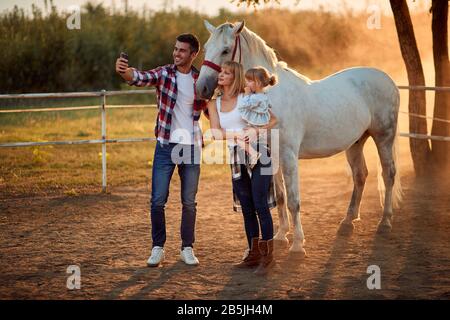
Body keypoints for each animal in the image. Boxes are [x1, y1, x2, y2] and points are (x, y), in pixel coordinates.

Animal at [197, 21, 404, 256]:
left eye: (225, 50)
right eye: (206, 48)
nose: (202, 88)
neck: (270, 97)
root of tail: (387, 80)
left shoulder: (288, 156)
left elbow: (293, 200)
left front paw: (297, 244)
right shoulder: (271, 157)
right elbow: (280, 197)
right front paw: (280, 236)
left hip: (384, 137)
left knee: (388, 174)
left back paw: (385, 222)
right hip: (355, 143)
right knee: (360, 175)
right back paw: (347, 222)